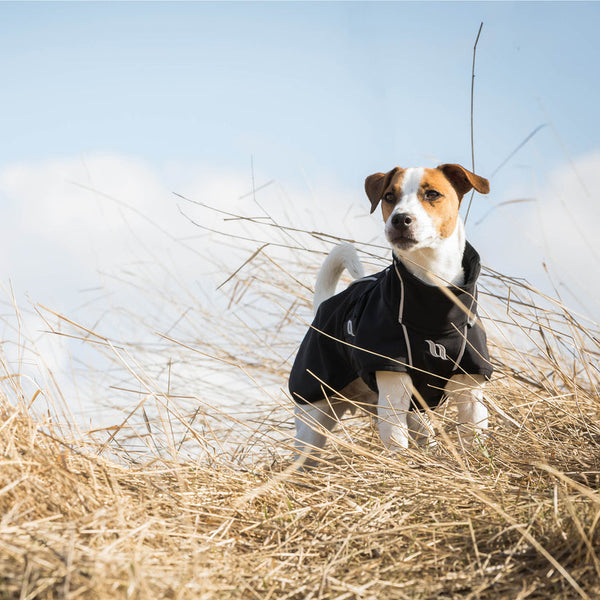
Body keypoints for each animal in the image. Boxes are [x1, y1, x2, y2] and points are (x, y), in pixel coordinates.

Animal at [290, 162, 492, 466]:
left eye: (432, 194)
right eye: (389, 197)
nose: (400, 219)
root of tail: (324, 306)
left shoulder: (470, 389)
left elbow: (473, 435)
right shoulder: (393, 388)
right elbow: (397, 441)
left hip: (415, 414)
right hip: (314, 413)